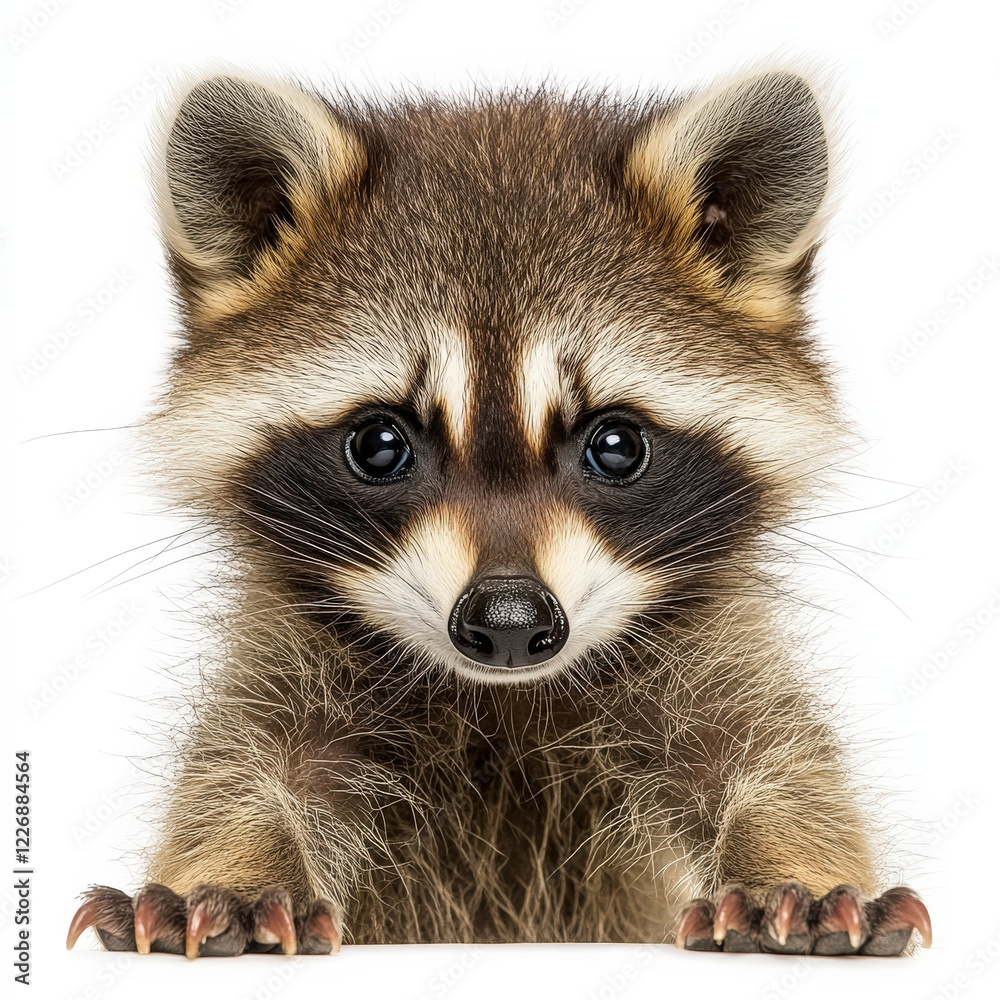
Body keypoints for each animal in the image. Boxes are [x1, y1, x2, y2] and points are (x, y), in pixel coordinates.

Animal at [67, 66, 932, 959]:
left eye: (615, 446)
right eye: (380, 444)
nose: (510, 621)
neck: (500, 700)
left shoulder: (707, 642)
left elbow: (775, 757)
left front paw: (792, 869)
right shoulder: (287, 644)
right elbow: (244, 765)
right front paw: (232, 870)